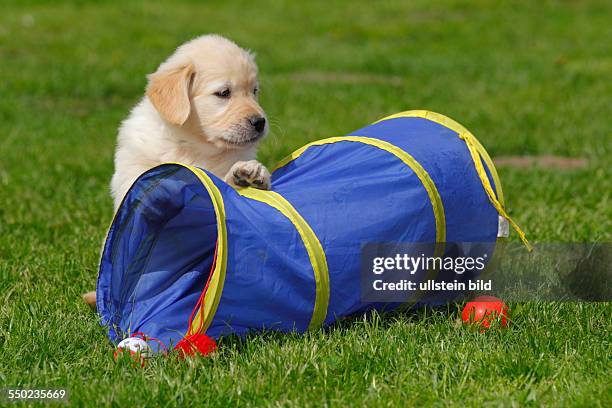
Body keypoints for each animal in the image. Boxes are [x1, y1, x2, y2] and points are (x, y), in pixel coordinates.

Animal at [83, 35, 270, 308]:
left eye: (254, 91)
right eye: (223, 93)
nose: (260, 122)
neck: (193, 144)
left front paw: (249, 174)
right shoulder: (132, 163)